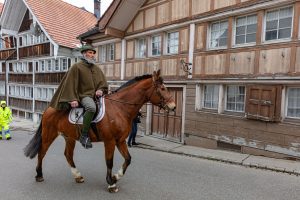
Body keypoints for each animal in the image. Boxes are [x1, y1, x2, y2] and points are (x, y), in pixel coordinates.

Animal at [25, 70, 176, 192]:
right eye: (162, 88)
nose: (173, 106)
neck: (119, 108)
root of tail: (49, 108)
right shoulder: (109, 141)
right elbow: (109, 161)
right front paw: (111, 183)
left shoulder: (120, 141)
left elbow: (128, 159)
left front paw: (116, 177)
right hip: (49, 135)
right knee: (42, 152)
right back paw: (39, 175)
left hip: (70, 137)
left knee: (68, 155)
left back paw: (78, 176)